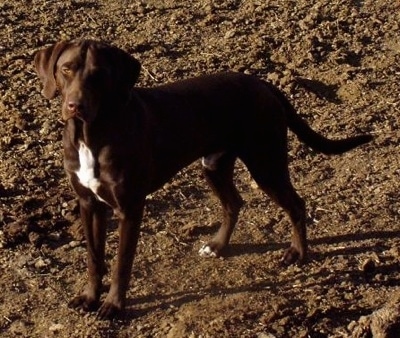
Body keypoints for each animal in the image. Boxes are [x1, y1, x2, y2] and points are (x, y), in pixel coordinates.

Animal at [34, 41, 372, 318]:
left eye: (99, 75)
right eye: (66, 69)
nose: (75, 106)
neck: (91, 135)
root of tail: (263, 83)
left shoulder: (130, 208)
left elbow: (121, 264)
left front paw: (114, 305)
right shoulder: (88, 204)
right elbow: (94, 259)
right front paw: (90, 298)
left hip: (266, 164)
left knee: (296, 204)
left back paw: (297, 253)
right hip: (214, 165)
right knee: (234, 203)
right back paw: (218, 246)